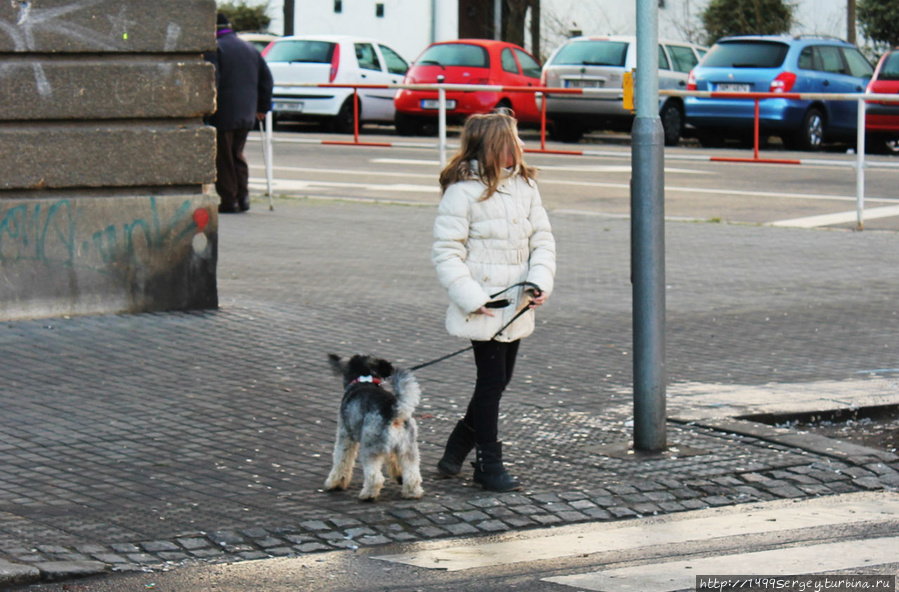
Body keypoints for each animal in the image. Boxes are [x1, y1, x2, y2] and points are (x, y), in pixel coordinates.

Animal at [324, 354, 426, 502]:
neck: (365, 380)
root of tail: (394, 412)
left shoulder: (345, 436)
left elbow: (341, 460)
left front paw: (335, 483)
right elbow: (393, 461)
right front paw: (398, 475)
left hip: (369, 448)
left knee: (375, 477)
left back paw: (368, 495)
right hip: (408, 449)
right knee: (412, 475)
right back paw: (412, 492)